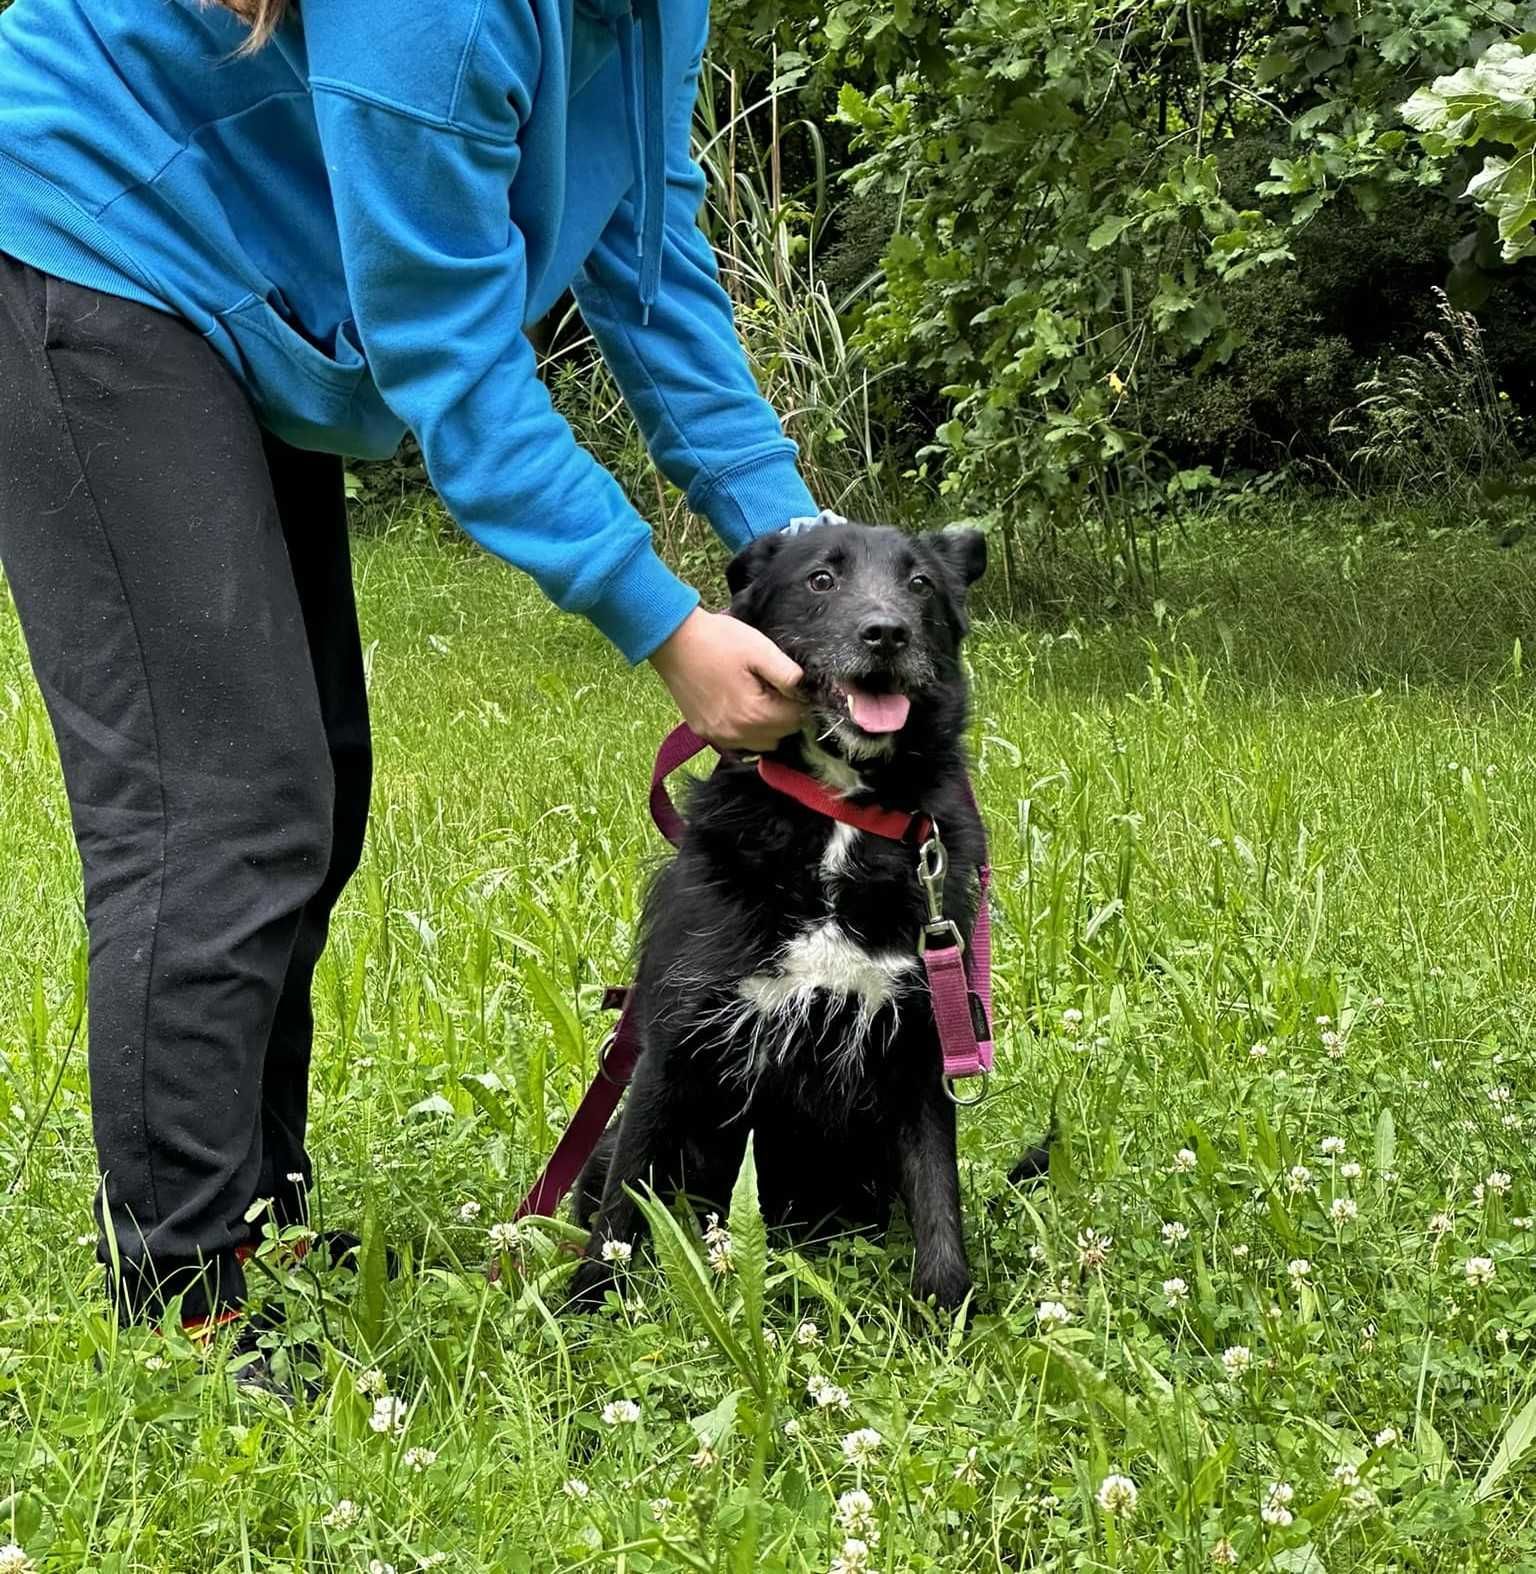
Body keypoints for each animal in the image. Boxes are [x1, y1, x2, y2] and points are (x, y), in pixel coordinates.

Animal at [569, 522, 1000, 1309]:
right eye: (821, 579)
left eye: (920, 583)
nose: (885, 633)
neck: (838, 815)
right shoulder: (674, 1040)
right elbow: (624, 1202)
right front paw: (589, 1306)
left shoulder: (922, 1042)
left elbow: (938, 1201)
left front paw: (948, 1316)